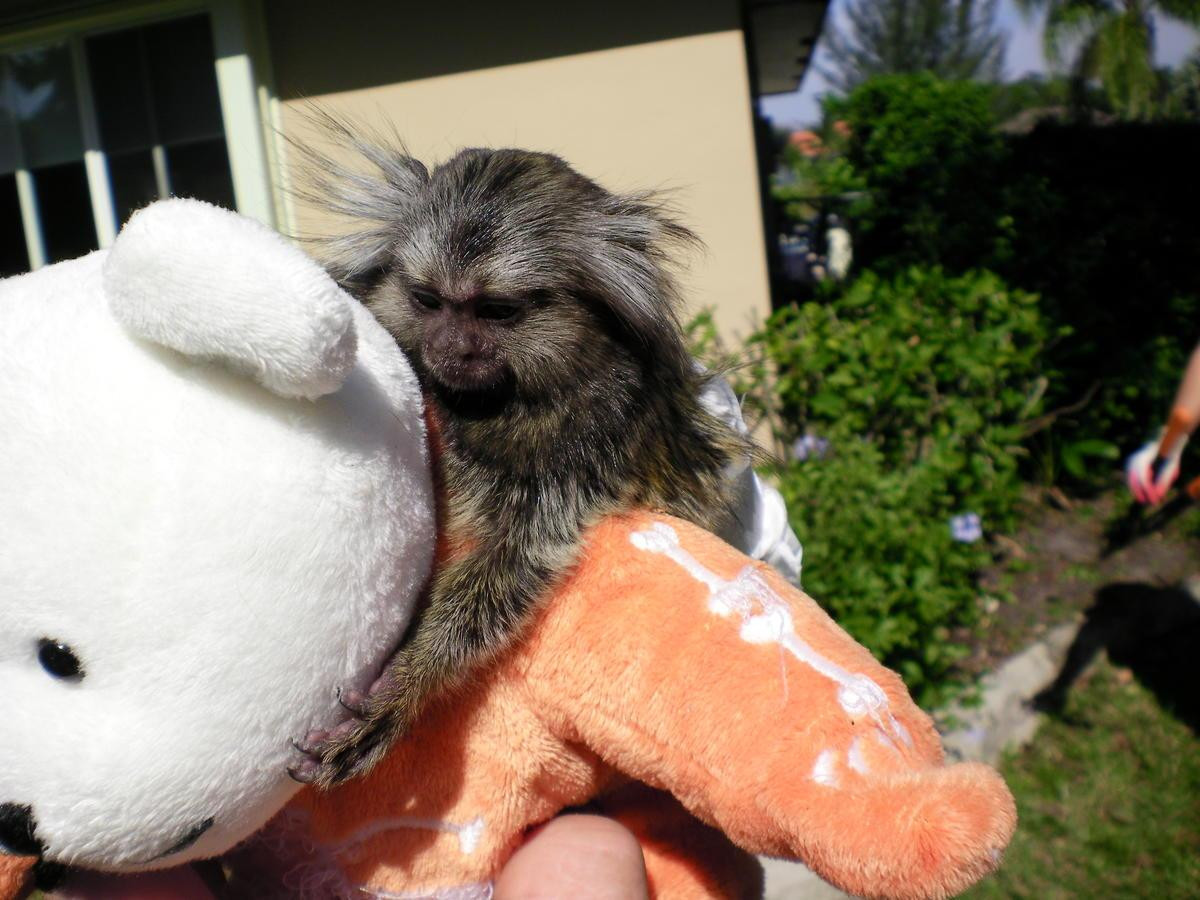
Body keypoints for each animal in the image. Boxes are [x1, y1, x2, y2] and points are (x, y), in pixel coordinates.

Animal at [289, 118, 752, 787]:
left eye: (497, 311)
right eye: (428, 300)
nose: (449, 348)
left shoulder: (583, 460)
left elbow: (512, 565)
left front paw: (402, 688)